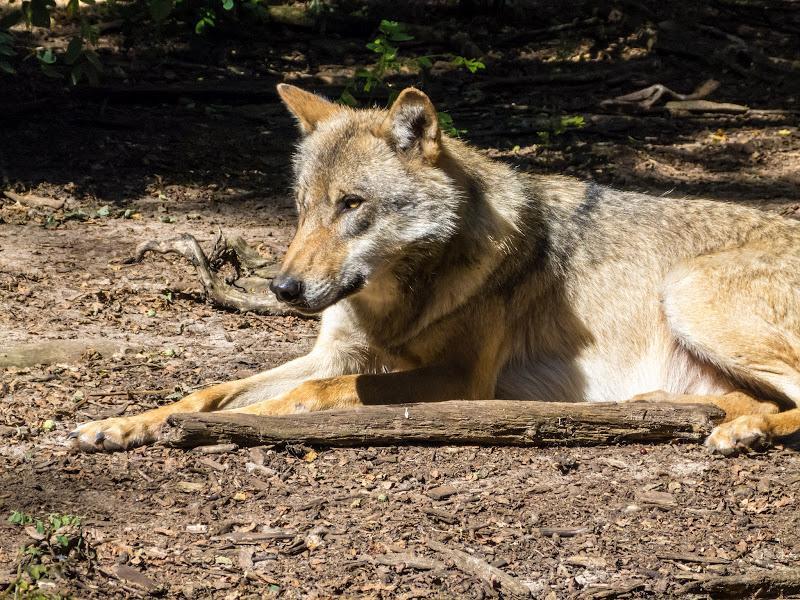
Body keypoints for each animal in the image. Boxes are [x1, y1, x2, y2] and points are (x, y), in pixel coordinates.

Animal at [69, 82, 800, 452]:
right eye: (303, 208)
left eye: (352, 204)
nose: (282, 288)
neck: (400, 297)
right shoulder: (336, 352)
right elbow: (207, 391)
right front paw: (124, 424)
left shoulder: (457, 377)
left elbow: (313, 393)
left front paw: (261, 418)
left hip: (687, 292)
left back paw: (748, 432)